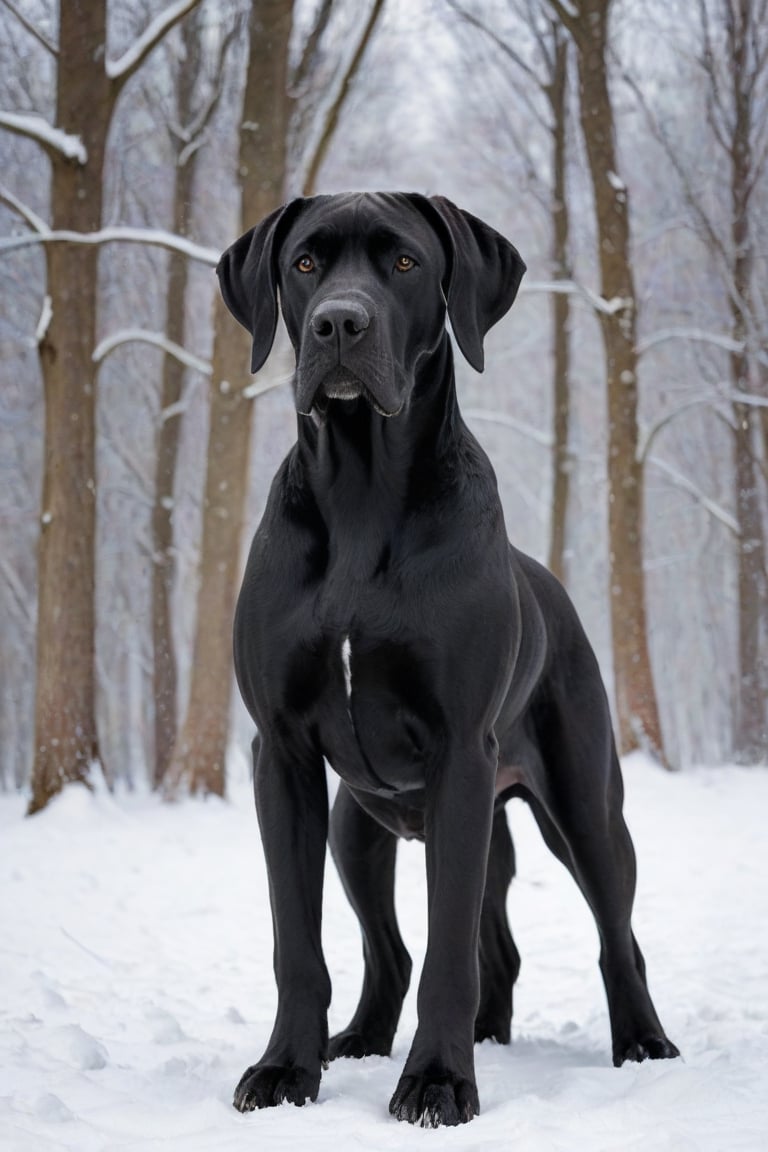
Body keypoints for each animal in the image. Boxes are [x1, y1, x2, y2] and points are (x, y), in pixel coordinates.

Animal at [216, 191, 677, 1124]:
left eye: (404, 263)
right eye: (305, 263)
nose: (338, 324)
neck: (361, 493)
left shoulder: (461, 752)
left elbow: (450, 951)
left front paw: (436, 1080)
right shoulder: (281, 754)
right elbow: (298, 944)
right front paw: (286, 1069)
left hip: (582, 808)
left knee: (615, 936)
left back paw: (642, 1043)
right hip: (363, 825)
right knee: (404, 949)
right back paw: (366, 1038)